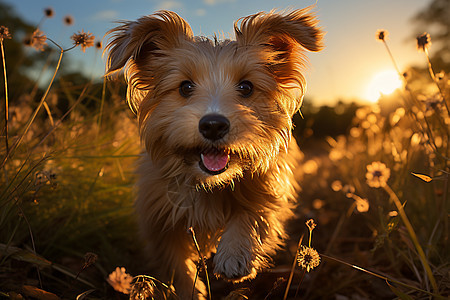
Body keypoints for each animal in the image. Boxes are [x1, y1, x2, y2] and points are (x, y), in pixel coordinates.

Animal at [105, 8, 324, 298]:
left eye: (246, 87)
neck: (207, 183)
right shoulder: (160, 221)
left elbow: (253, 212)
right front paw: (189, 291)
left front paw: (234, 254)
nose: (213, 125)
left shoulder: (268, 186)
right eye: (185, 87)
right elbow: (177, 266)